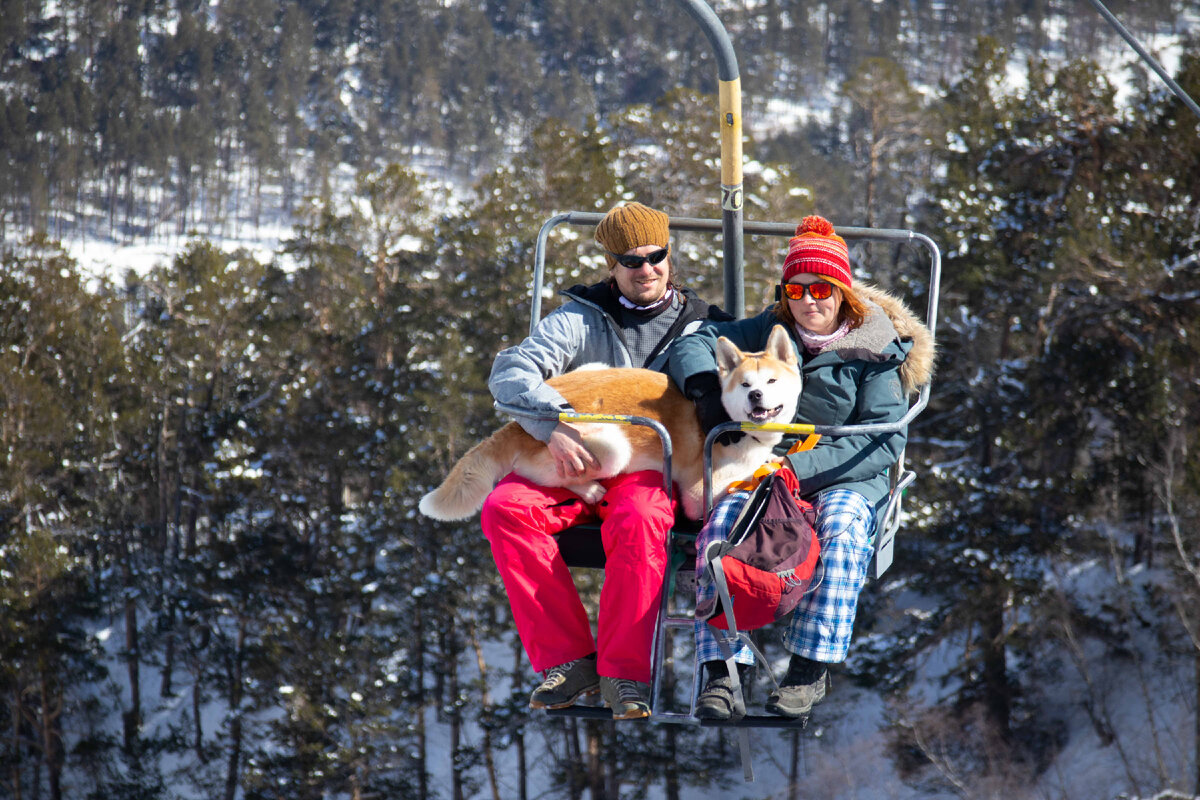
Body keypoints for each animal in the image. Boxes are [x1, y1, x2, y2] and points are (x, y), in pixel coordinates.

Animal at [417, 321, 801, 522]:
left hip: (595, 368)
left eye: (770, 381)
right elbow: (742, 478)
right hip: (611, 445)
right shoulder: (698, 494)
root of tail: (518, 423)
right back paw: (588, 489)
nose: (756, 397)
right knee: (537, 473)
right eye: (745, 385)